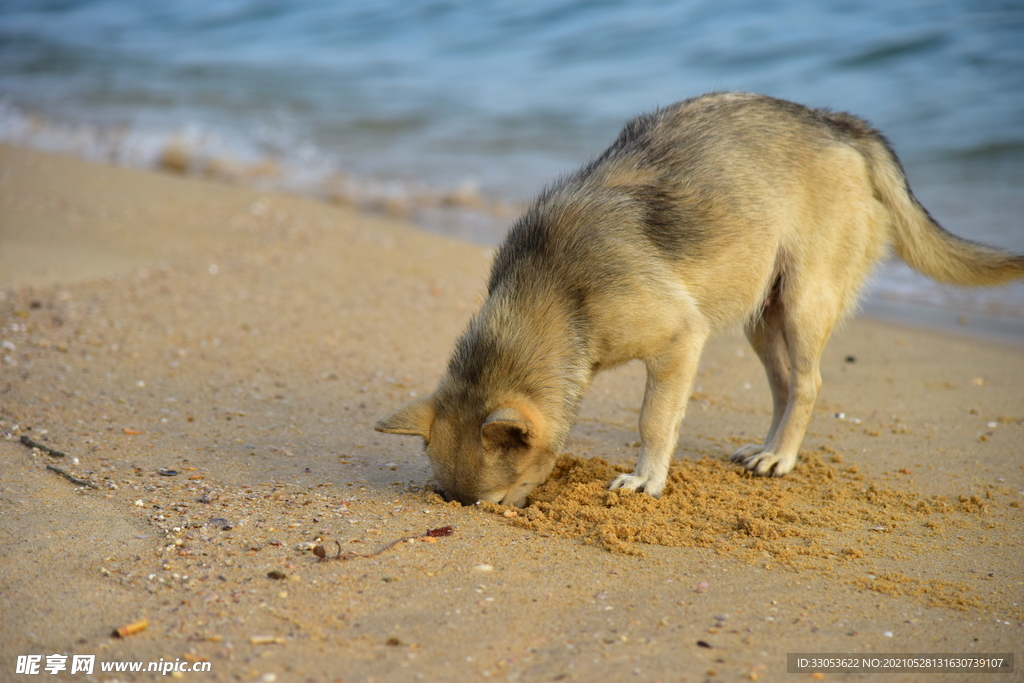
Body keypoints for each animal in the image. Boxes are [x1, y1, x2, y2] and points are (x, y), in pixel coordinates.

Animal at [374, 92, 1024, 507]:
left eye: (499, 498)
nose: (512, 516)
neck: (556, 293)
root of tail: (837, 123)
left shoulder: (678, 343)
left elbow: (654, 421)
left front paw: (646, 481)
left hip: (804, 303)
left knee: (808, 383)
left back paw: (781, 458)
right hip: (764, 315)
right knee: (784, 385)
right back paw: (767, 449)